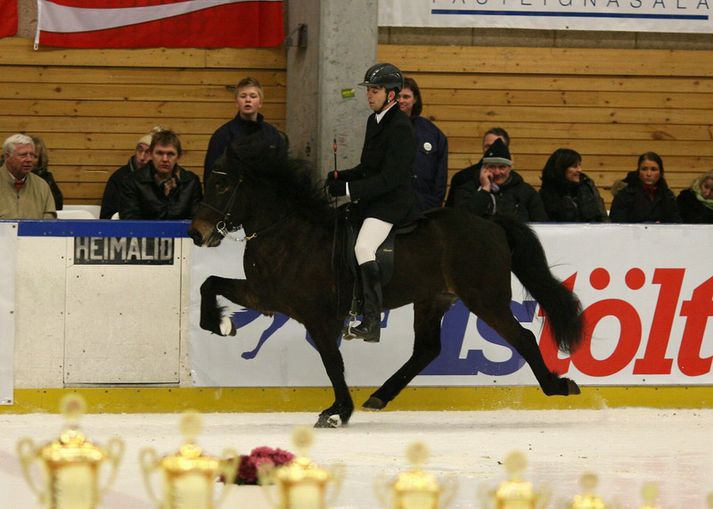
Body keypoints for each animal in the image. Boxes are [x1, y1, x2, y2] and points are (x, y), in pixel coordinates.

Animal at [189, 133, 584, 426]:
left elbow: (332, 361)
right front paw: (221, 324)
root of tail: (490, 223)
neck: (289, 233)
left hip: (485, 298)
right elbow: (209, 283)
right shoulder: (265, 296)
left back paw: (559, 386)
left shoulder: (316, 316)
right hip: (432, 298)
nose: (196, 233)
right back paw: (379, 396)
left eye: (222, 186)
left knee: (523, 337)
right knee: (427, 349)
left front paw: (338, 412)